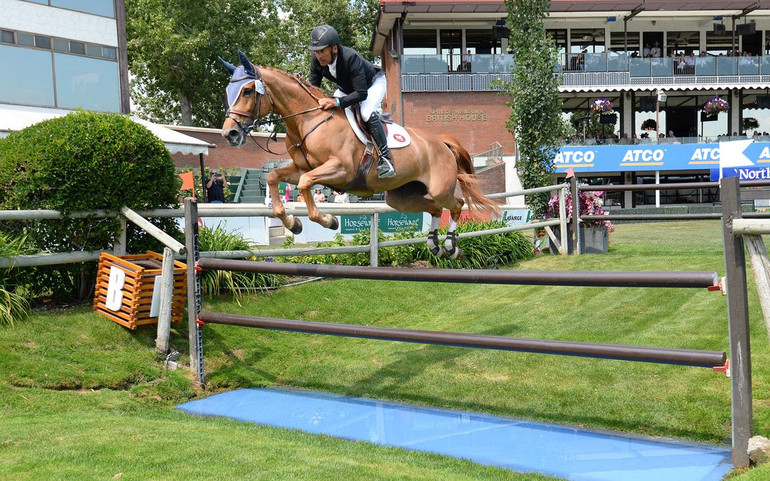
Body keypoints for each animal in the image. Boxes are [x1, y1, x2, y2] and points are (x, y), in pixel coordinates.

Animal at [219, 50, 500, 256]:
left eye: (247, 91)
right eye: (228, 92)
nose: (230, 133)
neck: (309, 121)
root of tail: (441, 142)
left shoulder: (341, 170)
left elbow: (306, 184)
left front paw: (328, 220)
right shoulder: (302, 167)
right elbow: (274, 177)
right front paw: (293, 223)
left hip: (439, 188)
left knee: (456, 204)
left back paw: (450, 245)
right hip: (401, 197)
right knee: (434, 209)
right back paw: (434, 244)